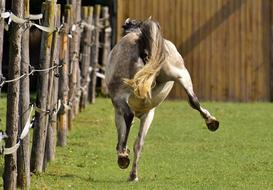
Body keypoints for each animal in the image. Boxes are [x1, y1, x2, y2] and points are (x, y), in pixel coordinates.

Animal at [104, 18, 219, 181]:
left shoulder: (121, 112)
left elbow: (124, 133)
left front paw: (123, 155)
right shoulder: (148, 114)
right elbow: (139, 144)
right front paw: (133, 175)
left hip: (119, 96)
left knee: (128, 115)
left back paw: (123, 157)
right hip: (180, 74)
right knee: (193, 99)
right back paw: (211, 122)